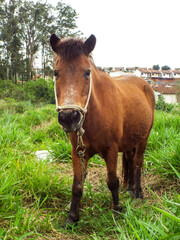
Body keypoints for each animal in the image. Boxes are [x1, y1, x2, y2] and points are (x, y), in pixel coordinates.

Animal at [49, 33, 155, 223]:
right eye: (56, 73)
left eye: (87, 72)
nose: (69, 117)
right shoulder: (77, 151)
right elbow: (77, 185)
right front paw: (72, 218)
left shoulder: (111, 149)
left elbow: (112, 181)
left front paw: (117, 210)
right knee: (130, 159)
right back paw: (130, 188)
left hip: (144, 138)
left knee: (137, 162)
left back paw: (137, 193)